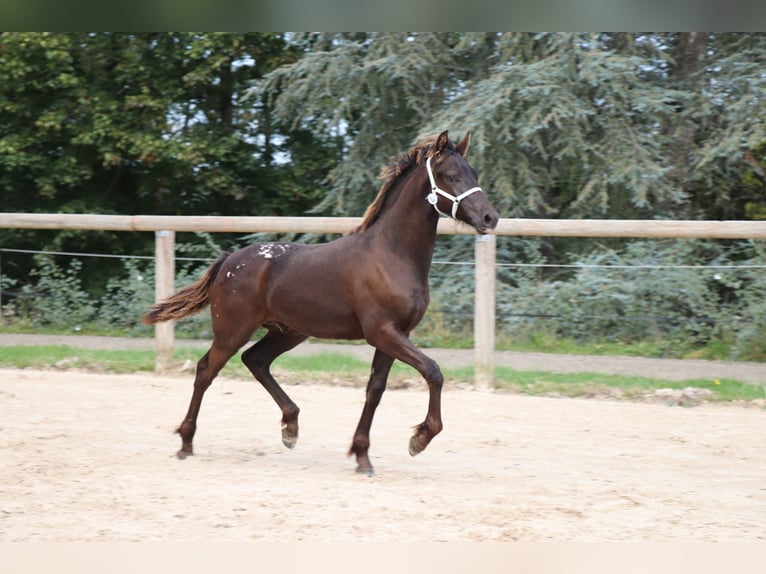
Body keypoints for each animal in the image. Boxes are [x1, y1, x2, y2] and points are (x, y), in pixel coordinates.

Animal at [142, 132, 504, 476]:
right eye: (450, 176)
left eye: (473, 173)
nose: (490, 217)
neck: (391, 255)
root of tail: (230, 259)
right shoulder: (382, 332)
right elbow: (433, 371)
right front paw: (420, 438)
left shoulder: (397, 334)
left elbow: (375, 389)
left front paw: (362, 456)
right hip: (233, 330)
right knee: (206, 370)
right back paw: (186, 442)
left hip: (288, 332)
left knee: (255, 360)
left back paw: (290, 427)